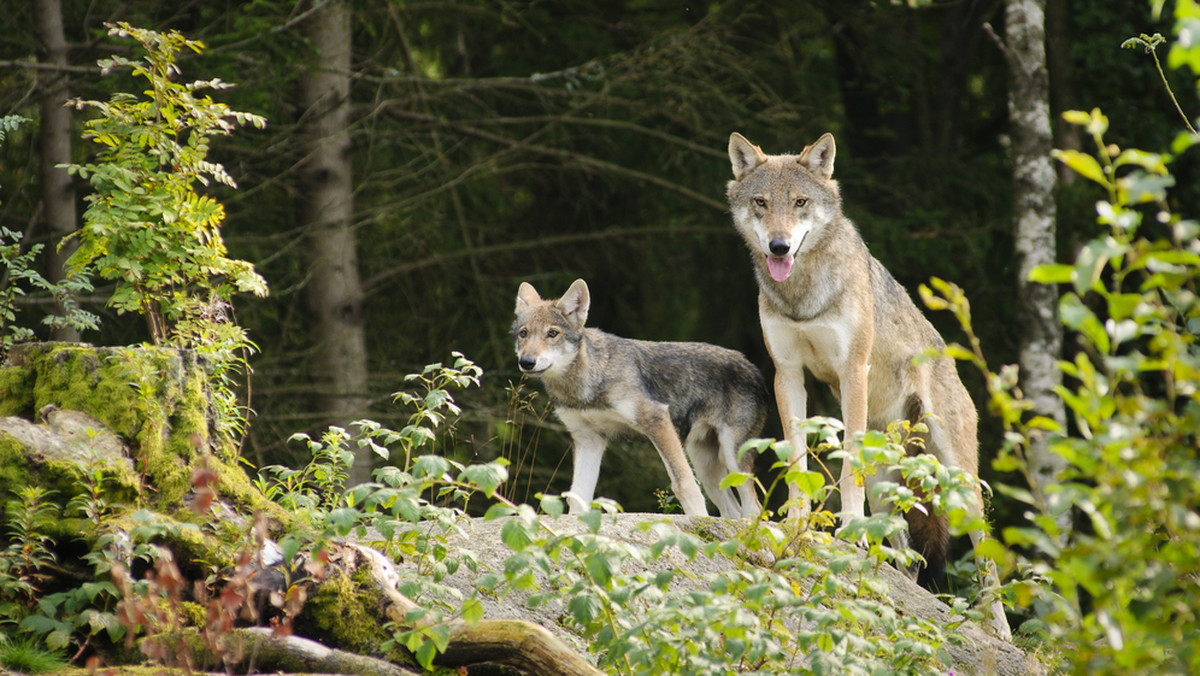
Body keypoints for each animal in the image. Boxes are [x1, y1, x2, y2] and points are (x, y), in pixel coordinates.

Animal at [511, 278, 763, 518]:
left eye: (552, 333)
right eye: (524, 333)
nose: (527, 362)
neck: (585, 386)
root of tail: (752, 367)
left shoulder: (657, 419)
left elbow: (684, 485)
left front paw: (696, 522)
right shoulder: (588, 439)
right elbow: (578, 496)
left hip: (732, 457)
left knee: (754, 508)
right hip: (705, 464)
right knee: (733, 511)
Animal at [720, 132, 1012, 638]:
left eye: (799, 202)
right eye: (761, 202)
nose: (778, 247)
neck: (802, 295)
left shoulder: (851, 370)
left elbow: (846, 460)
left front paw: (848, 526)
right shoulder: (787, 374)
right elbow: (796, 457)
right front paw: (797, 521)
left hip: (957, 482)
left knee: (985, 558)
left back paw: (999, 630)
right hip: (888, 483)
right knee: (908, 557)